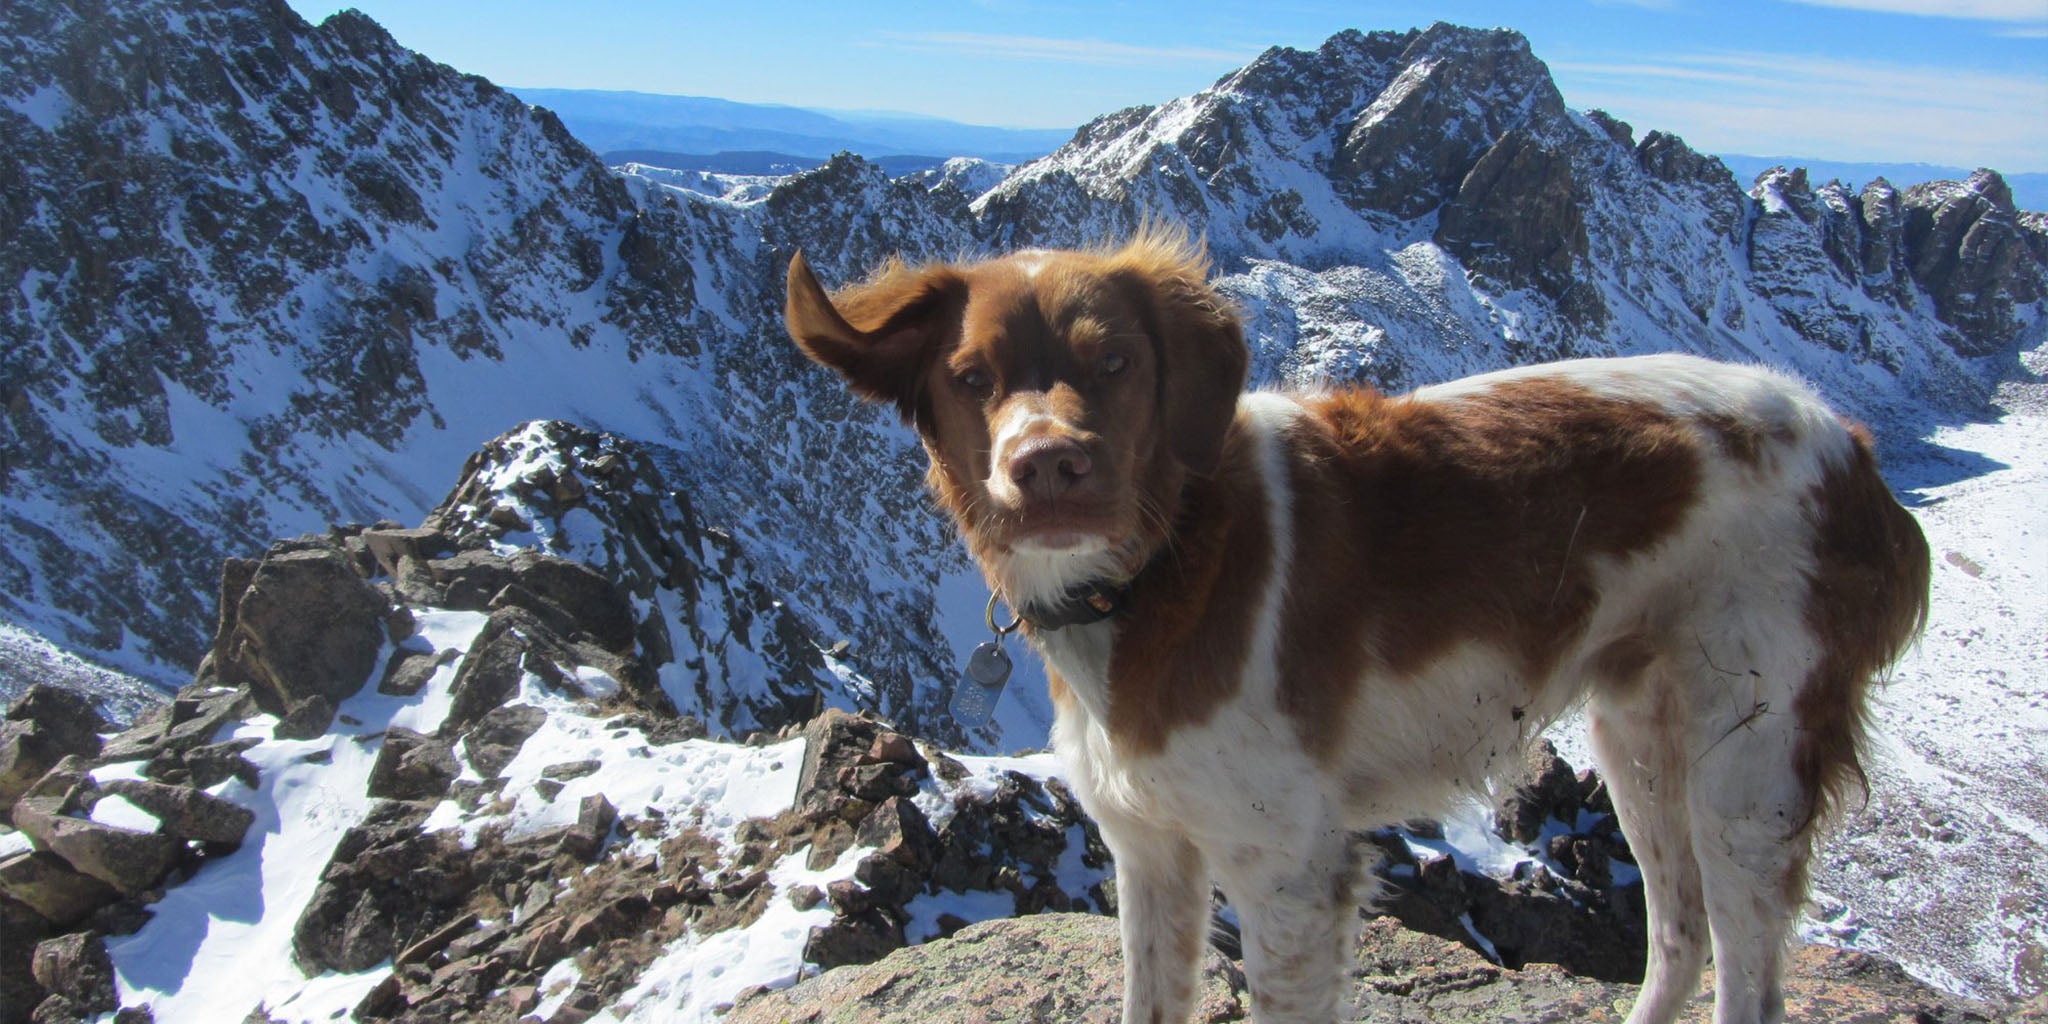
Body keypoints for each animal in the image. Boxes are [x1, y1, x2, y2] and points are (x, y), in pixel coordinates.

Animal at [774, 232, 1925, 1024]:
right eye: (970, 378)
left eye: (1115, 366)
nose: (1048, 466)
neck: (1160, 568)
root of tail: (1849, 442)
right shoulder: (1150, 849)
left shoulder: (1289, 866)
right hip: (1639, 738)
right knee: (1678, 931)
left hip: (1749, 766)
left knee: (1745, 972)